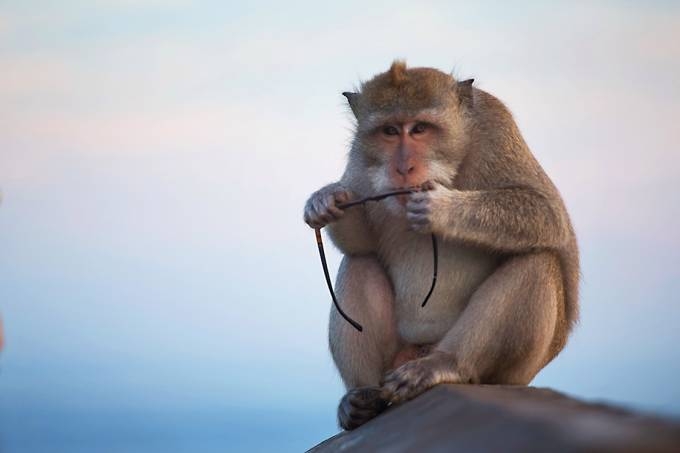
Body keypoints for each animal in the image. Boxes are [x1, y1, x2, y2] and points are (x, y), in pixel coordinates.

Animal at [303, 61, 579, 431]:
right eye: (390, 131)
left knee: (537, 261)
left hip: (515, 369)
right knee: (359, 262)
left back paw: (446, 364)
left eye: (420, 129)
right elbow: (362, 242)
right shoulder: (362, 159)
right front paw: (326, 199)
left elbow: (546, 213)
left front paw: (440, 208)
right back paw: (360, 399)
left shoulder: (496, 128)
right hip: (398, 355)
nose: (403, 167)